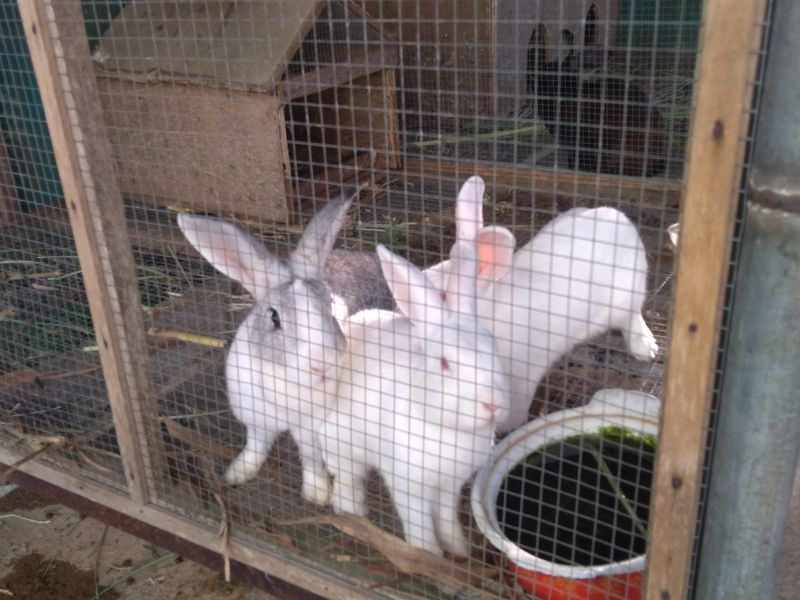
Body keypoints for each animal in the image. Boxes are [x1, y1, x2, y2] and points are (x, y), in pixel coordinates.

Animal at [178, 193, 367, 503]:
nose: (323, 363)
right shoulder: (256, 420)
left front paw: (317, 494)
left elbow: (312, 461)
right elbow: (255, 446)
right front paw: (237, 473)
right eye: (274, 318)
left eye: (330, 307)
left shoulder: (310, 430)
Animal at [319, 239, 510, 557]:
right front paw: (429, 556)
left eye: (494, 347)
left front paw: (459, 549)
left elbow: (446, 518)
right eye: (445, 363)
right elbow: (420, 524)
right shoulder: (408, 486)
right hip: (341, 445)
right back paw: (353, 514)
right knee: (347, 478)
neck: (448, 430)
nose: (493, 403)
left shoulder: (449, 487)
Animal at [427, 176, 659, 434]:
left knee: (632, 316)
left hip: (627, 296)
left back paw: (645, 347)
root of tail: (618, 217)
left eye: (443, 296)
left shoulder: (519, 382)